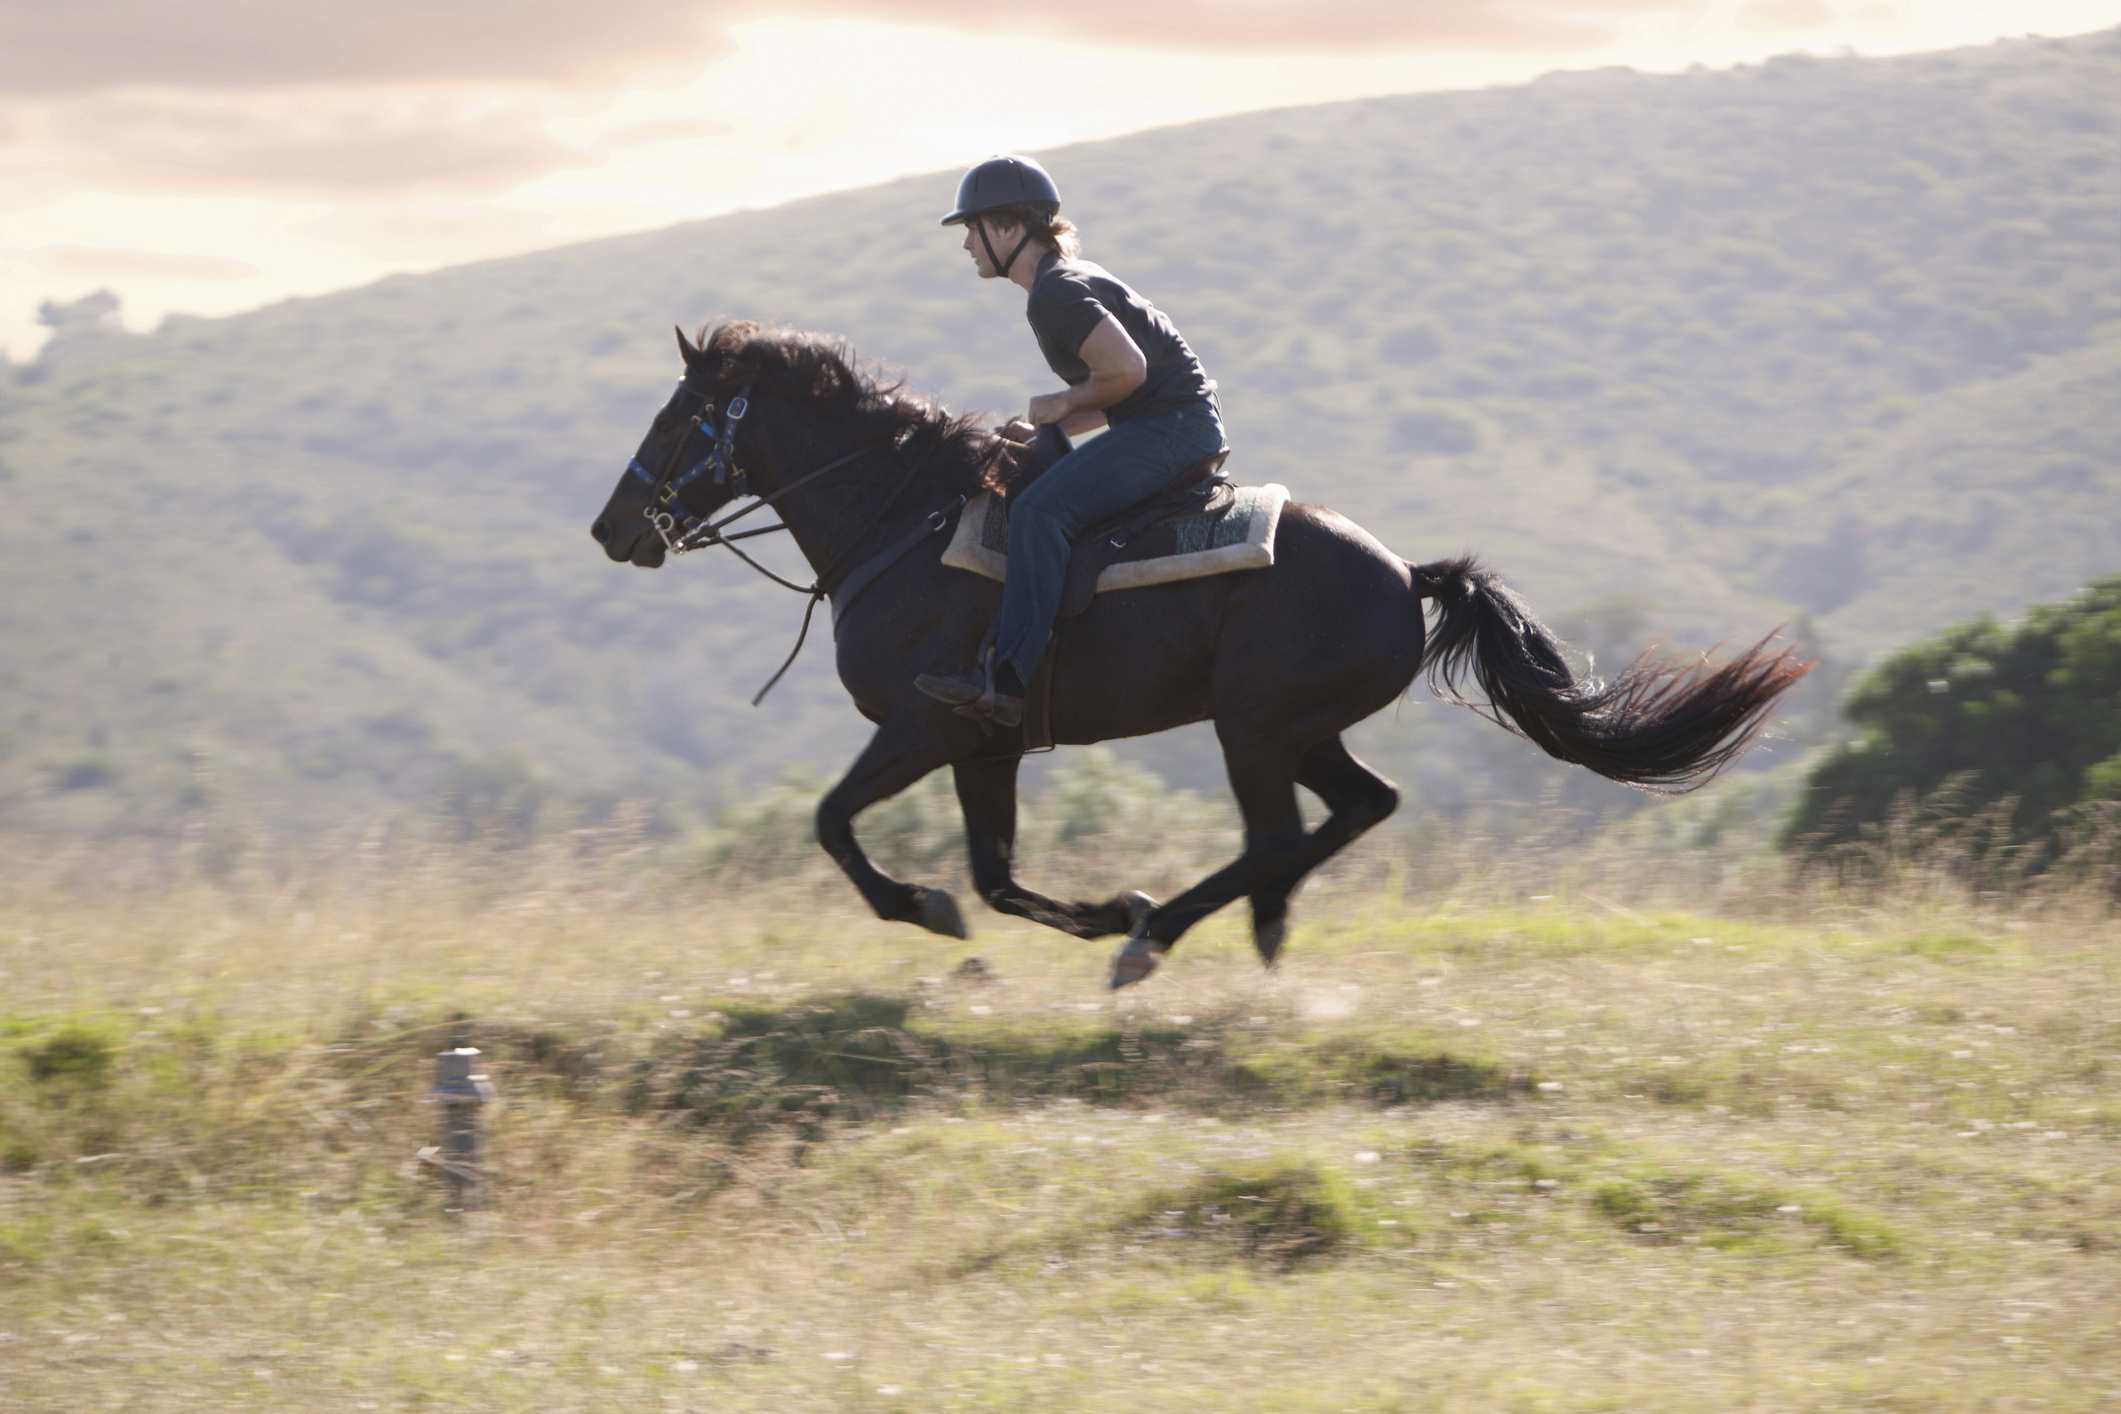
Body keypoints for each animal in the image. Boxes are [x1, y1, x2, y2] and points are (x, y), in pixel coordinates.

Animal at [593, 322, 1807, 992]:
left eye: (679, 417)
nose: (613, 529)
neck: (904, 517)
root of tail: (1407, 572)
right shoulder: (987, 745)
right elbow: (996, 875)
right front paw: (1091, 907)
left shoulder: (929, 725)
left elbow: (838, 826)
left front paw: (940, 908)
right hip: (1295, 729)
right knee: (1358, 807)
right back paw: (1247, 926)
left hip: (1252, 726)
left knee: (1278, 833)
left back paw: (1160, 936)